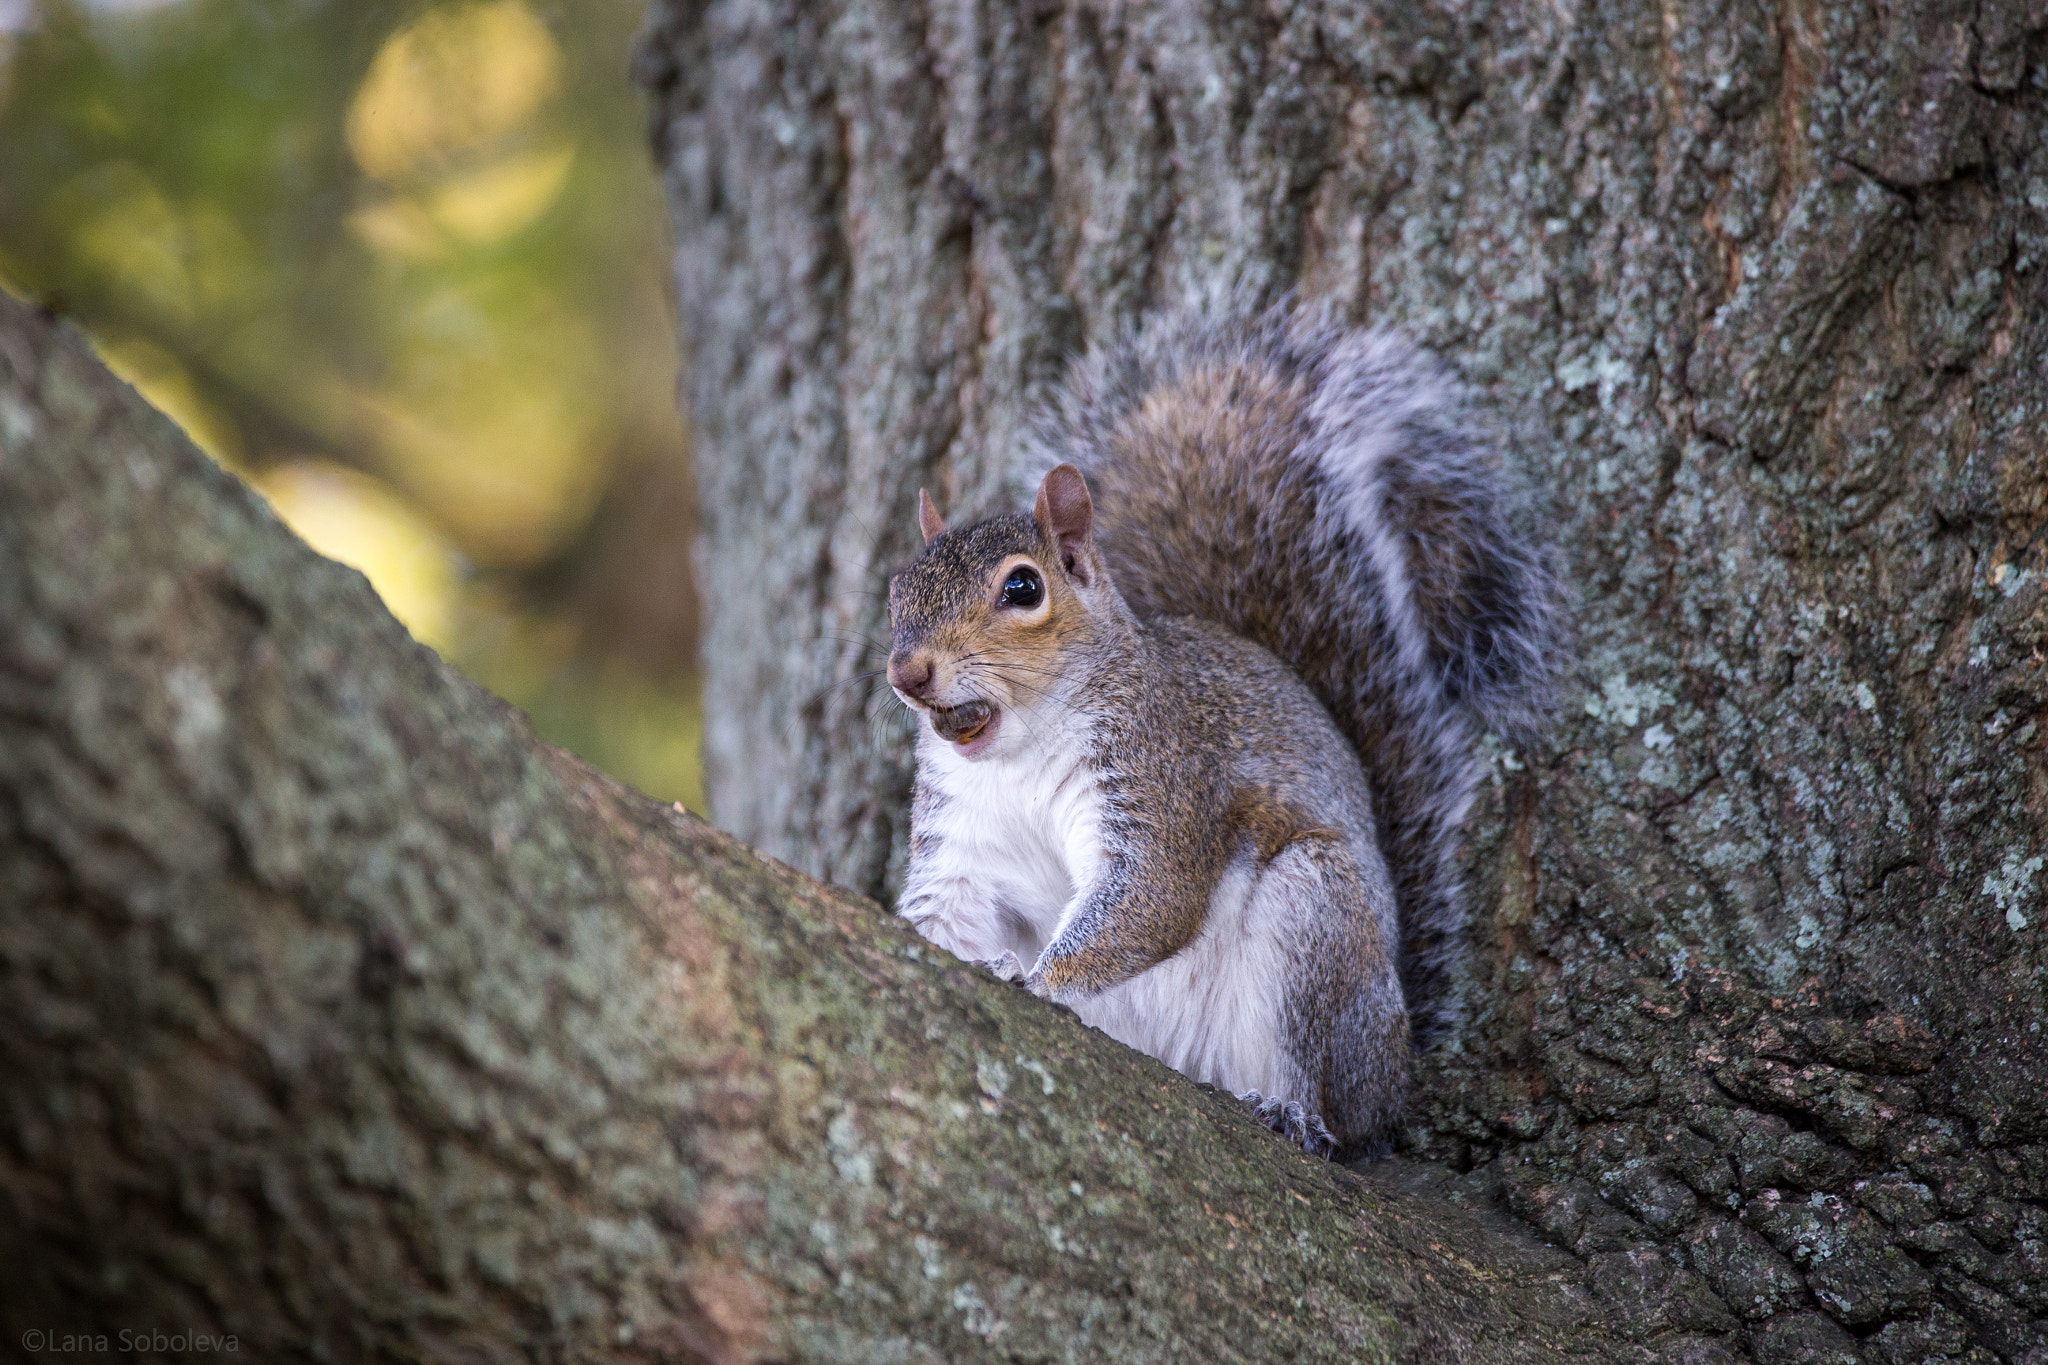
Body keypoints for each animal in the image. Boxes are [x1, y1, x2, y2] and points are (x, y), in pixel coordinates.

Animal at [885, 308, 1558, 1159]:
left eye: (1023, 587)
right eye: (898, 591)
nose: (907, 671)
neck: (1018, 751)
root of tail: (1392, 1064)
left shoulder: (1164, 779)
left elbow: (1151, 899)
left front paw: (1033, 978)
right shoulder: (963, 834)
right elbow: (947, 908)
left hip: (1316, 918)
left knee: (1329, 1106)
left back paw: (1296, 1114)